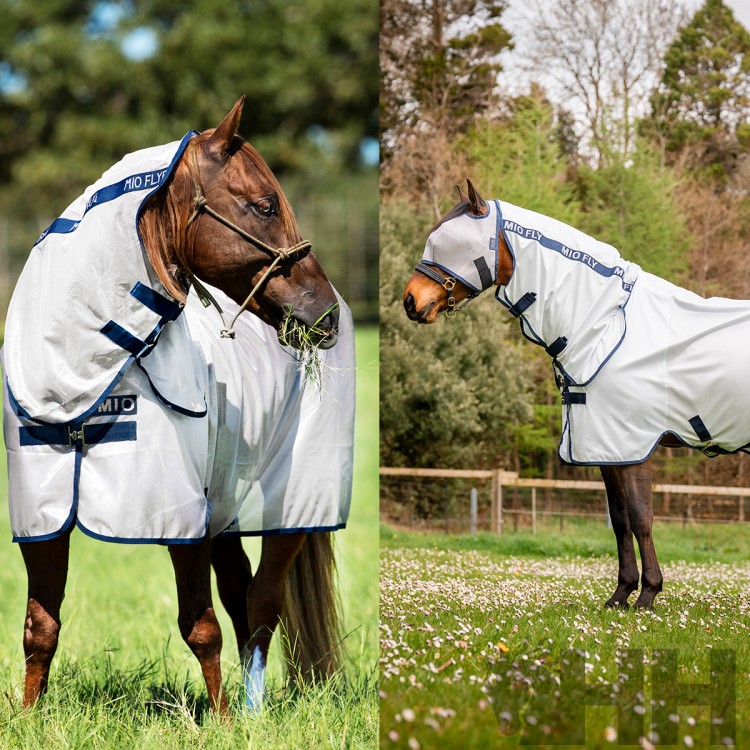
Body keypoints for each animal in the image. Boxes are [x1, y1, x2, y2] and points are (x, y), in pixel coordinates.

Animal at [3, 97, 355, 713]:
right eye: (263, 205)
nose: (324, 314)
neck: (79, 383)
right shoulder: (41, 517)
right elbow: (39, 627)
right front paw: (28, 717)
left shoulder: (177, 517)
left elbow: (200, 626)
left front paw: (221, 722)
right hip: (226, 512)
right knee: (243, 593)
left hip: (293, 508)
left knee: (264, 601)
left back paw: (251, 712)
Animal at [403, 179, 750, 610]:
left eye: (448, 243)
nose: (410, 301)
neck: (605, 325)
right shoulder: (605, 449)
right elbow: (619, 520)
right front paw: (621, 594)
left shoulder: (633, 446)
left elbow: (642, 518)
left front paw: (648, 596)